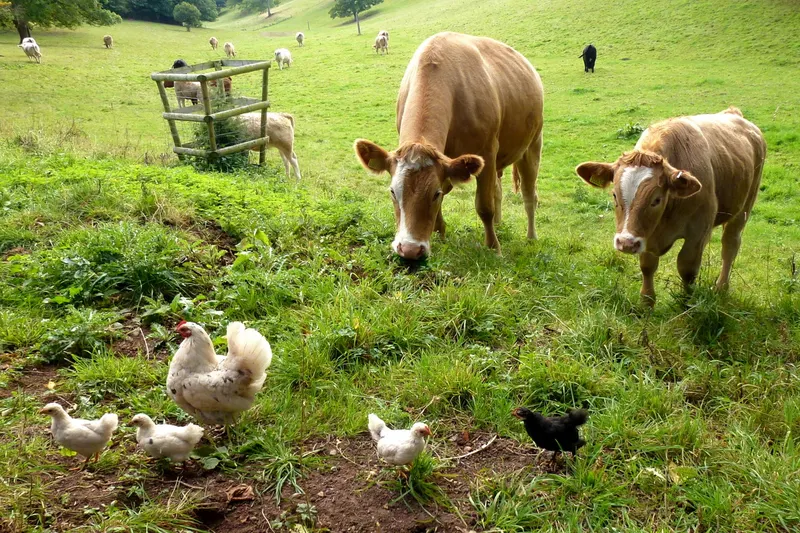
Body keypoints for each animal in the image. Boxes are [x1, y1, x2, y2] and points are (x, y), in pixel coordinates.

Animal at [354, 32, 544, 259]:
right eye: (392, 191)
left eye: (434, 193)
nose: (409, 249)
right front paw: (440, 236)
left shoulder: (487, 153)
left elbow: (484, 206)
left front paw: (493, 248)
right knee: (498, 190)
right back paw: (499, 226)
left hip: (533, 144)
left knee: (529, 193)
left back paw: (531, 237)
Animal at [575, 107, 766, 304]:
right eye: (614, 195)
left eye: (656, 199)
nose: (626, 243)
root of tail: (733, 114)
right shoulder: (646, 234)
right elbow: (647, 266)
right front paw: (646, 302)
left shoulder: (699, 232)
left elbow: (687, 268)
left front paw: (686, 301)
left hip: (745, 206)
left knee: (730, 245)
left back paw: (721, 288)